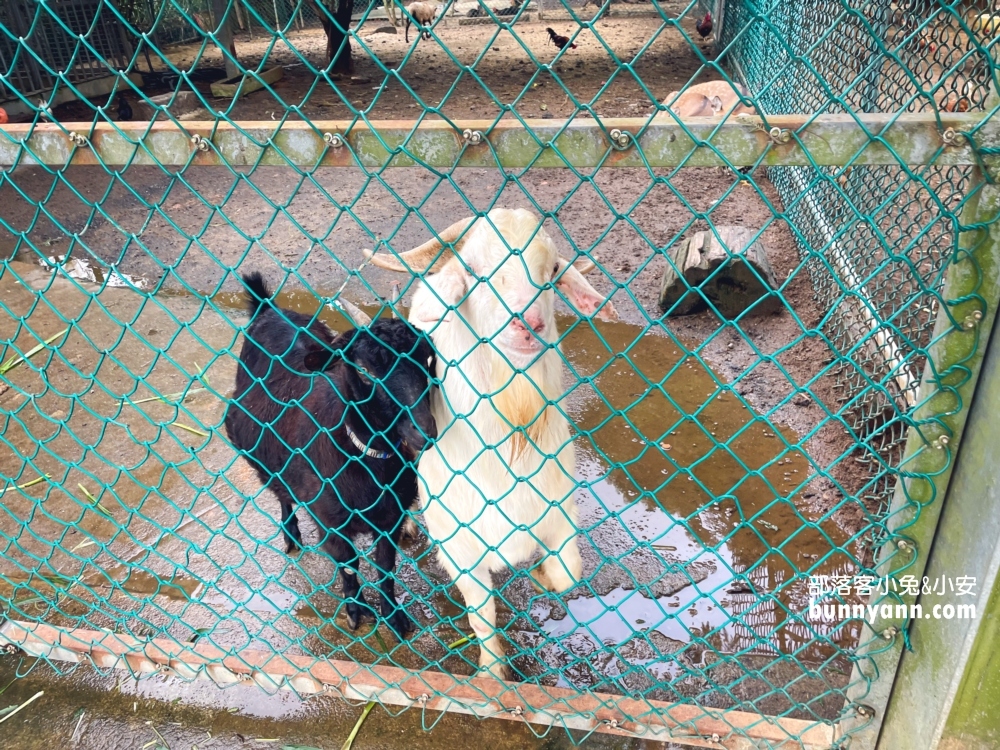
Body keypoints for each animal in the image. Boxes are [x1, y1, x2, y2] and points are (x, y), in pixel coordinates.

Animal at [227, 274, 438, 636]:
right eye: (364, 371)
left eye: (426, 360)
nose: (424, 433)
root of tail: (268, 308)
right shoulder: (331, 522)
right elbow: (348, 565)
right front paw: (355, 611)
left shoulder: (391, 517)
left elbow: (386, 565)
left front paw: (393, 615)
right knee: (282, 492)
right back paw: (291, 534)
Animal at [368, 209, 616, 680]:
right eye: (473, 269)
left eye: (553, 270)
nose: (528, 325)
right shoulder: (460, 548)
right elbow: (482, 615)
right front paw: (492, 672)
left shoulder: (559, 512)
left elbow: (568, 576)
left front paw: (539, 575)